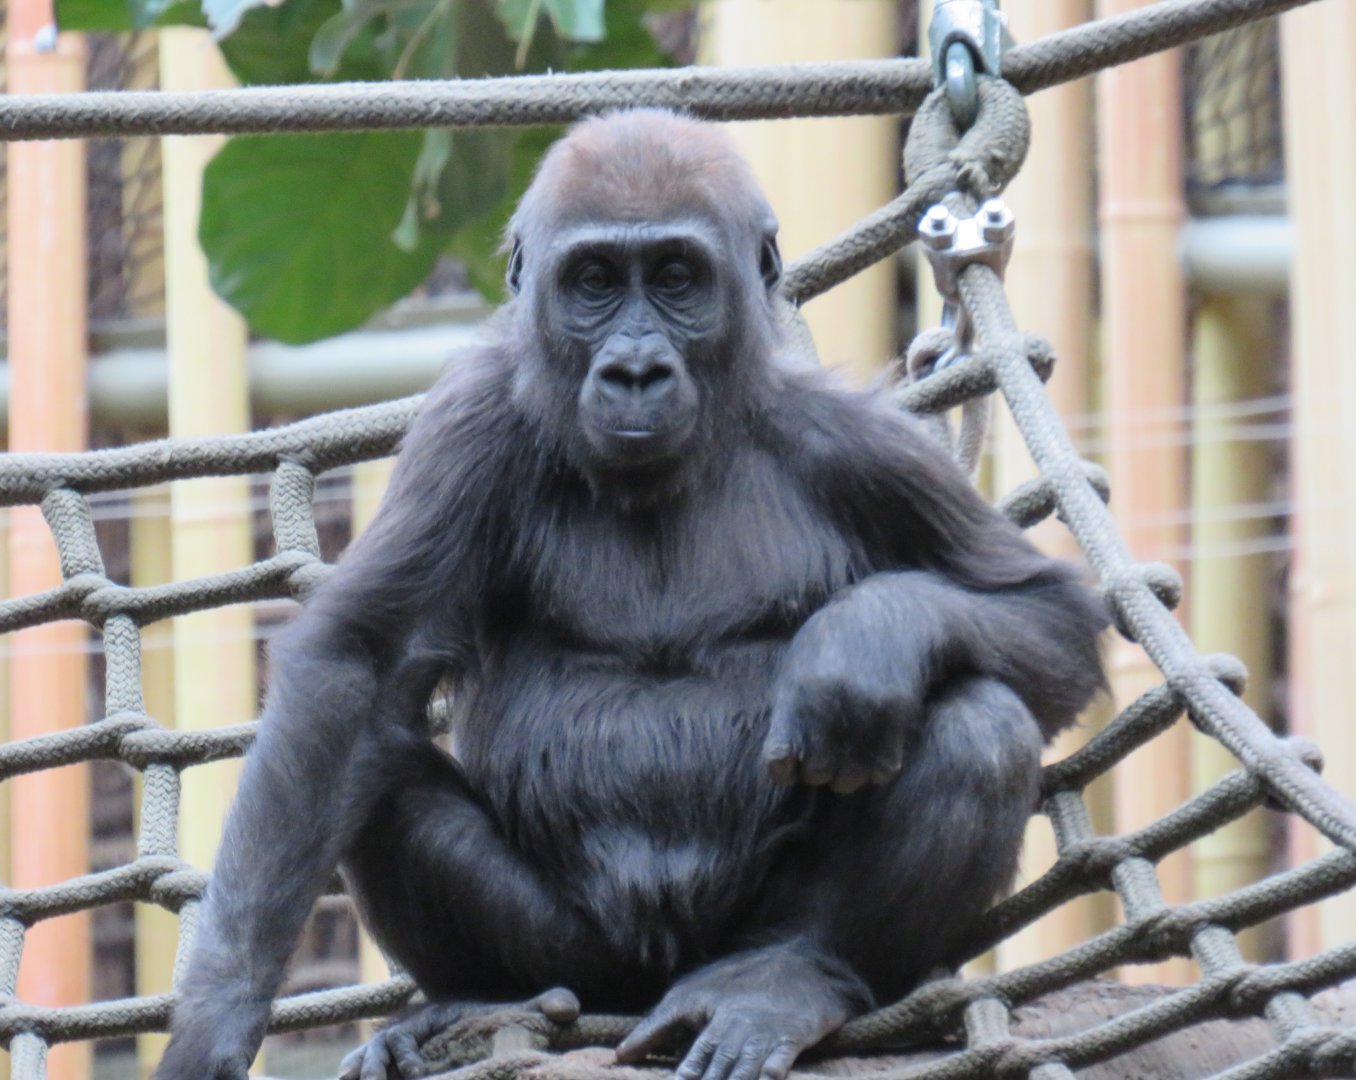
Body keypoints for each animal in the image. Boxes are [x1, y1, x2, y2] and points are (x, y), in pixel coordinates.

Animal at [154, 108, 1105, 1080]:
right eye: (596, 282)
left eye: (677, 277)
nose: (637, 371)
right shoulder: (469, 426)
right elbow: (358, 669)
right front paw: (218, 1018)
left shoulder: (860, 440)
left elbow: (1045, 611)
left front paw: (863, 644)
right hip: (582, 961)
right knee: (377, 770)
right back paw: (474, 1003)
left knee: (977, 720)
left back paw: (793, 974)